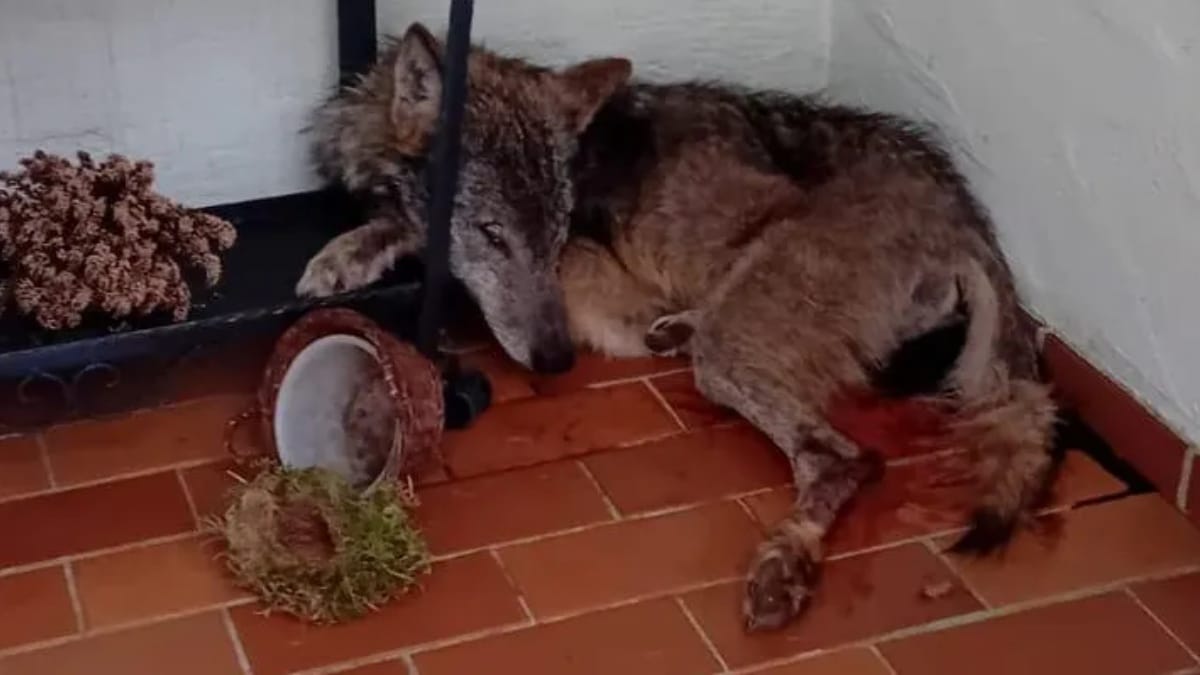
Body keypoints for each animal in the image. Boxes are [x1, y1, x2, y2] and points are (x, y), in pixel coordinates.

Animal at [299, 25, 1059, 633]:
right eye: (492, 234)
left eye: (555, 231)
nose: (556, 361)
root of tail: (971, 226)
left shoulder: (586, 271)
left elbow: (417, 245)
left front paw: (347, 264)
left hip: (736, 344)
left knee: (845, 458)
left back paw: (782, 568)